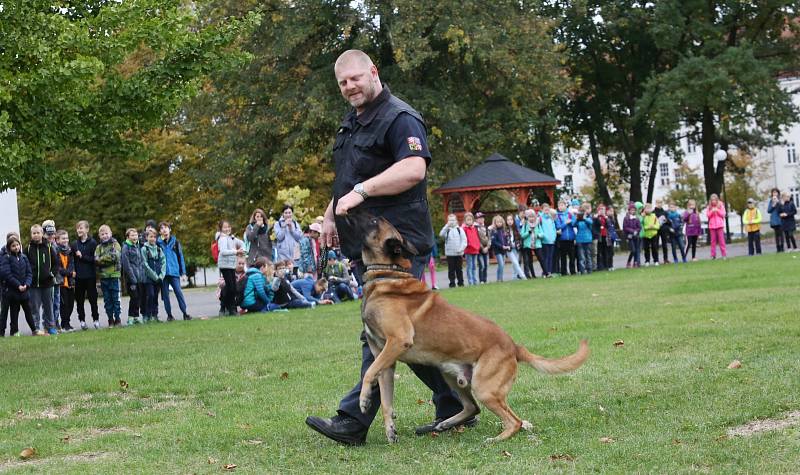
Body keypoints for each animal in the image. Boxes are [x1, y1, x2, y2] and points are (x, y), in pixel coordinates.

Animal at [350, 214, 588, 444]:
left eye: (373, 220)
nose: (347, 212)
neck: (387, 275)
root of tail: (514, 346)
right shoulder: (385, 360)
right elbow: (385, 399)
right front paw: (389, 428)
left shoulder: (398, 341)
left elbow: (369, 373)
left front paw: (363, 400)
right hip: (450, 374)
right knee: (474, 407)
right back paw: (446, 423)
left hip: (483, 387)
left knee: (513, 420)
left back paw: (495, 439)